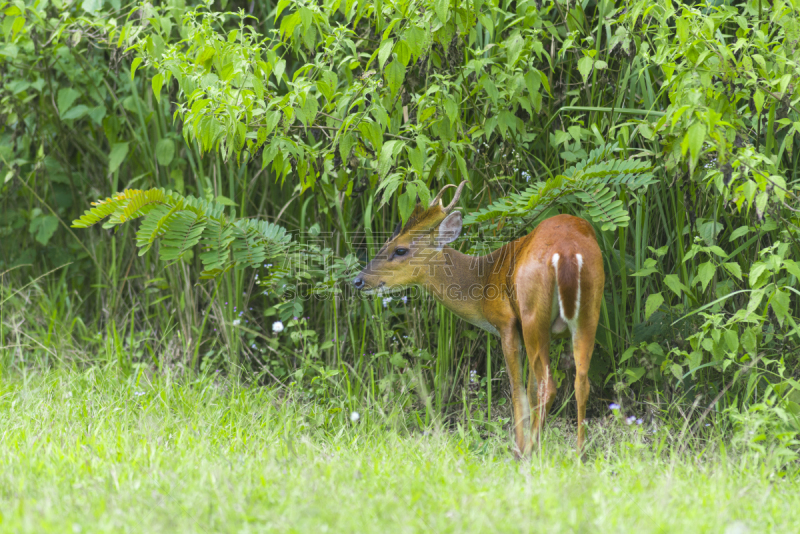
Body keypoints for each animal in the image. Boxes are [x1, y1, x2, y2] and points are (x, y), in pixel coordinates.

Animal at [354, 182, 604, 458]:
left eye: (400, 249)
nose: (358, 280)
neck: (483, 281)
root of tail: (567, 253)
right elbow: (529, 389)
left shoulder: (507, 323)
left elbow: (518, 391)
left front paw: (519, 448)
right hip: (589, 313)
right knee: (581, 382)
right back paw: (580, 453)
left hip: (533, 315)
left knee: (548, 386)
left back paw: (531, 452)